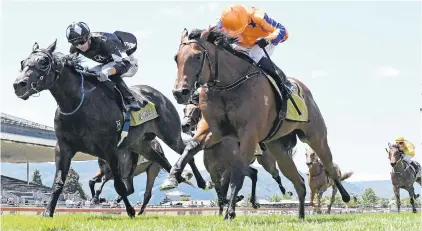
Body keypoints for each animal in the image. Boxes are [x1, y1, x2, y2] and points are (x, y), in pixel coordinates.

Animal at [14, 40, 208, 218]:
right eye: (23, 62)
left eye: (43, 62)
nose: (19, 85)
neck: (78, 103)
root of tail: (160, 96)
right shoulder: (64, 147)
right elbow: (59, 183)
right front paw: (48, 212)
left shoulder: (110, 149)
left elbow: (119, 185)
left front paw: (129, 211)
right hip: (140, 144)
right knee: (160, 159)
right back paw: (176, 178)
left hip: (170, 135)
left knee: (186, 151)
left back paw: (200, 182)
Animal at [166, 28, 352, 220]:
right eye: (176, 57)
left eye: (197, 56)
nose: (180, 92)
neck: (228, 85)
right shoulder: (214, 130)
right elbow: (191, 148)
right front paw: (172, 177)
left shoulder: (248, 135)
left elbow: (237, 172)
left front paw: (230, 212)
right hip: (279, 149)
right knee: (299, 182)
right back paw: (301, 216)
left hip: (315, 136)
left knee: (328, 165)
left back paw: (344, 195)